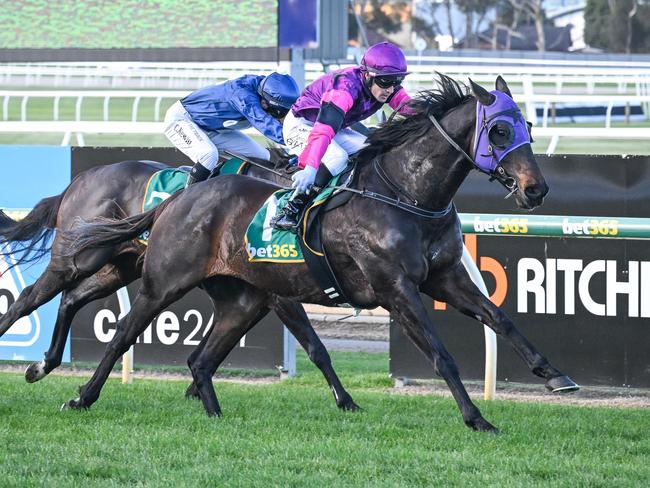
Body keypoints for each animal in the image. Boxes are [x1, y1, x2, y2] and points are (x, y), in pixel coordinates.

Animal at [0, 154, 360, 410]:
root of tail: (81, 180)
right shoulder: (279, 296)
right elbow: (315, 347)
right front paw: (345, 401)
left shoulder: (255, 294)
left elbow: (216, 342)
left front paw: (195, 388)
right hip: (77, 258)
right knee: (30, 297)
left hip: (120, 267)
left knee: (71, 299)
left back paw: (43, 365)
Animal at [60, 74, 576, 432]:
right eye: (500, 131)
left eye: (529, 126)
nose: (537, 190)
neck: (405, 195)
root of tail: (178, 199)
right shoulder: (395, 289)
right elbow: (439, 354)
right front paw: (476, 418)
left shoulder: (445, 277)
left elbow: (500, 317)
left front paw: (554, 375)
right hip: (162, 283)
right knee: (122, 333)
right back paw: (80, 396)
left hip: (243, 299)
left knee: (201, 360)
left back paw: (215, 415)